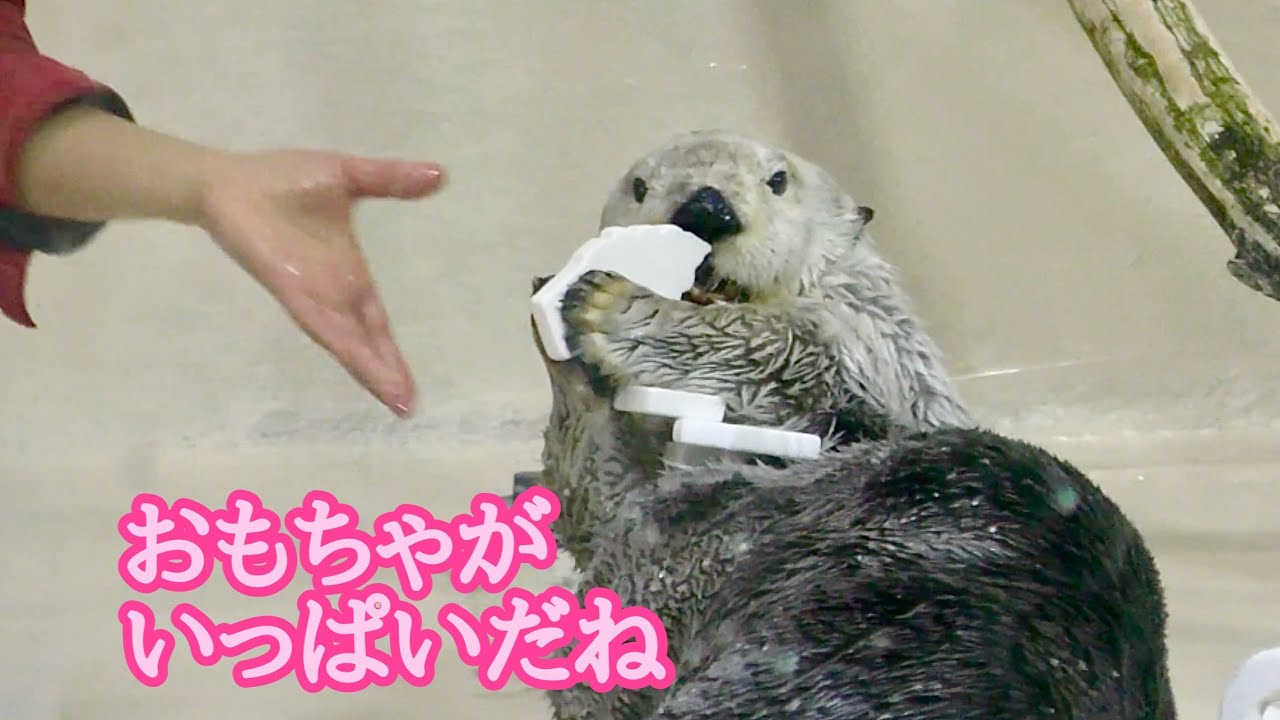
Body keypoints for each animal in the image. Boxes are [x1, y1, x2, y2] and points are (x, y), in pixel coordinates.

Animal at [527, 130, 1174, 719]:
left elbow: (790, 350)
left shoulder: (868, 349)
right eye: (640, 186)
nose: (705, 208)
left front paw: (616, 308)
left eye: (778, 180)